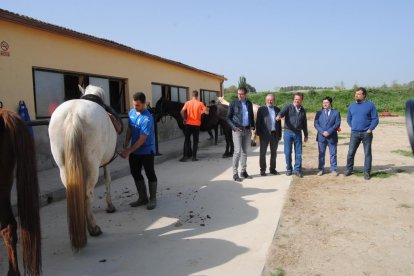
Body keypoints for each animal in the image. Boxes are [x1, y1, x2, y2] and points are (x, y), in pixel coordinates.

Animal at [50, 85, 119, 251]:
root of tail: (73, 114)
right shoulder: (106, 162)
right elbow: (107, 179)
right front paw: (110, 206)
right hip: (92, 165)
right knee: (88, 193)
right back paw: (93, 228)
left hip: (63, 166)